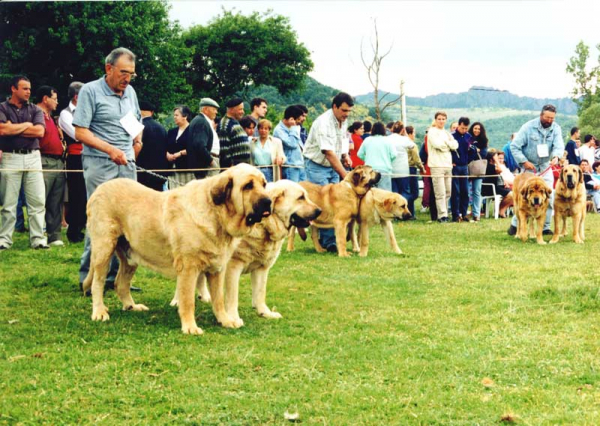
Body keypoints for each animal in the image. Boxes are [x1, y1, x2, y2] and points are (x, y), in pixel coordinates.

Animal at [81, 165, 272, 334]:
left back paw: (131, 306)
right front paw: (190, 327)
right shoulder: (188, 268)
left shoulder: (216, 270)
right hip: (103, 250)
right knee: (97, 283)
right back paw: (99, 312)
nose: (268, 201)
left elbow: (218, 299)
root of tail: (99, 190)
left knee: (120, 283)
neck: (216, 214)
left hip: (130, 257)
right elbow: (187, 300)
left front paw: (225, 320)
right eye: (248, 186)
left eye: (264, 184)